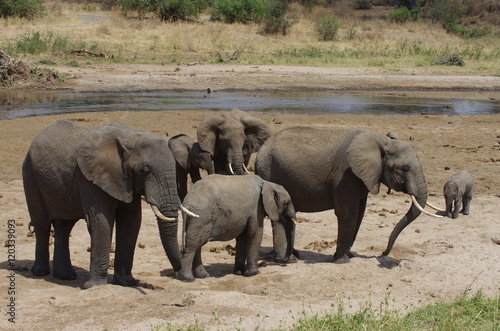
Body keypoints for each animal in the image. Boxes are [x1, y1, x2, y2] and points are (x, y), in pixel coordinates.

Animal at [23, 120, 196, 290]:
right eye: (144, 170)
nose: (179, 273)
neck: (129, 138)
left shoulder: (126, 181)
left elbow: (131, 222)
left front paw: (127, 283)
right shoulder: (89, 178)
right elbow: (101, 222)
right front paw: (96, 286)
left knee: (64, 226)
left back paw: (66, 277)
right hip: (30, 174)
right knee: (42, 224)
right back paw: (40, 272)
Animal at [256, 126, 440, 264]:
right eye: (405, 169)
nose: (383, 253)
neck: (381, 141)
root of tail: (260, 152)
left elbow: (359, 213)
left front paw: (349, 255)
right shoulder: (346, 175)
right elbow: (348, 213)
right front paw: (342, 260)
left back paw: (293, 255)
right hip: (271, 173)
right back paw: (287, 260)